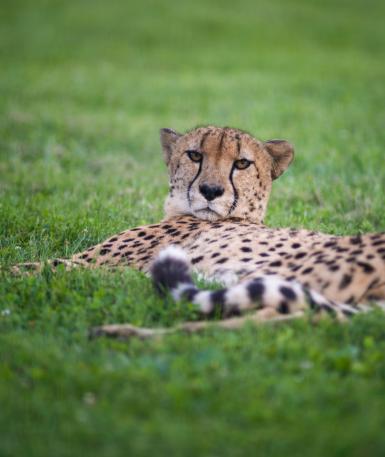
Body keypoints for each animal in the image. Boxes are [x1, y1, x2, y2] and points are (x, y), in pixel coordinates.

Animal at [13, 126, 384, 336]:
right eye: (194, 155)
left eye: (242, 163)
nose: (210, 190)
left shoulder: (89, 264)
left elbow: (25, 267)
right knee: (294, 319)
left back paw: (124, 332)